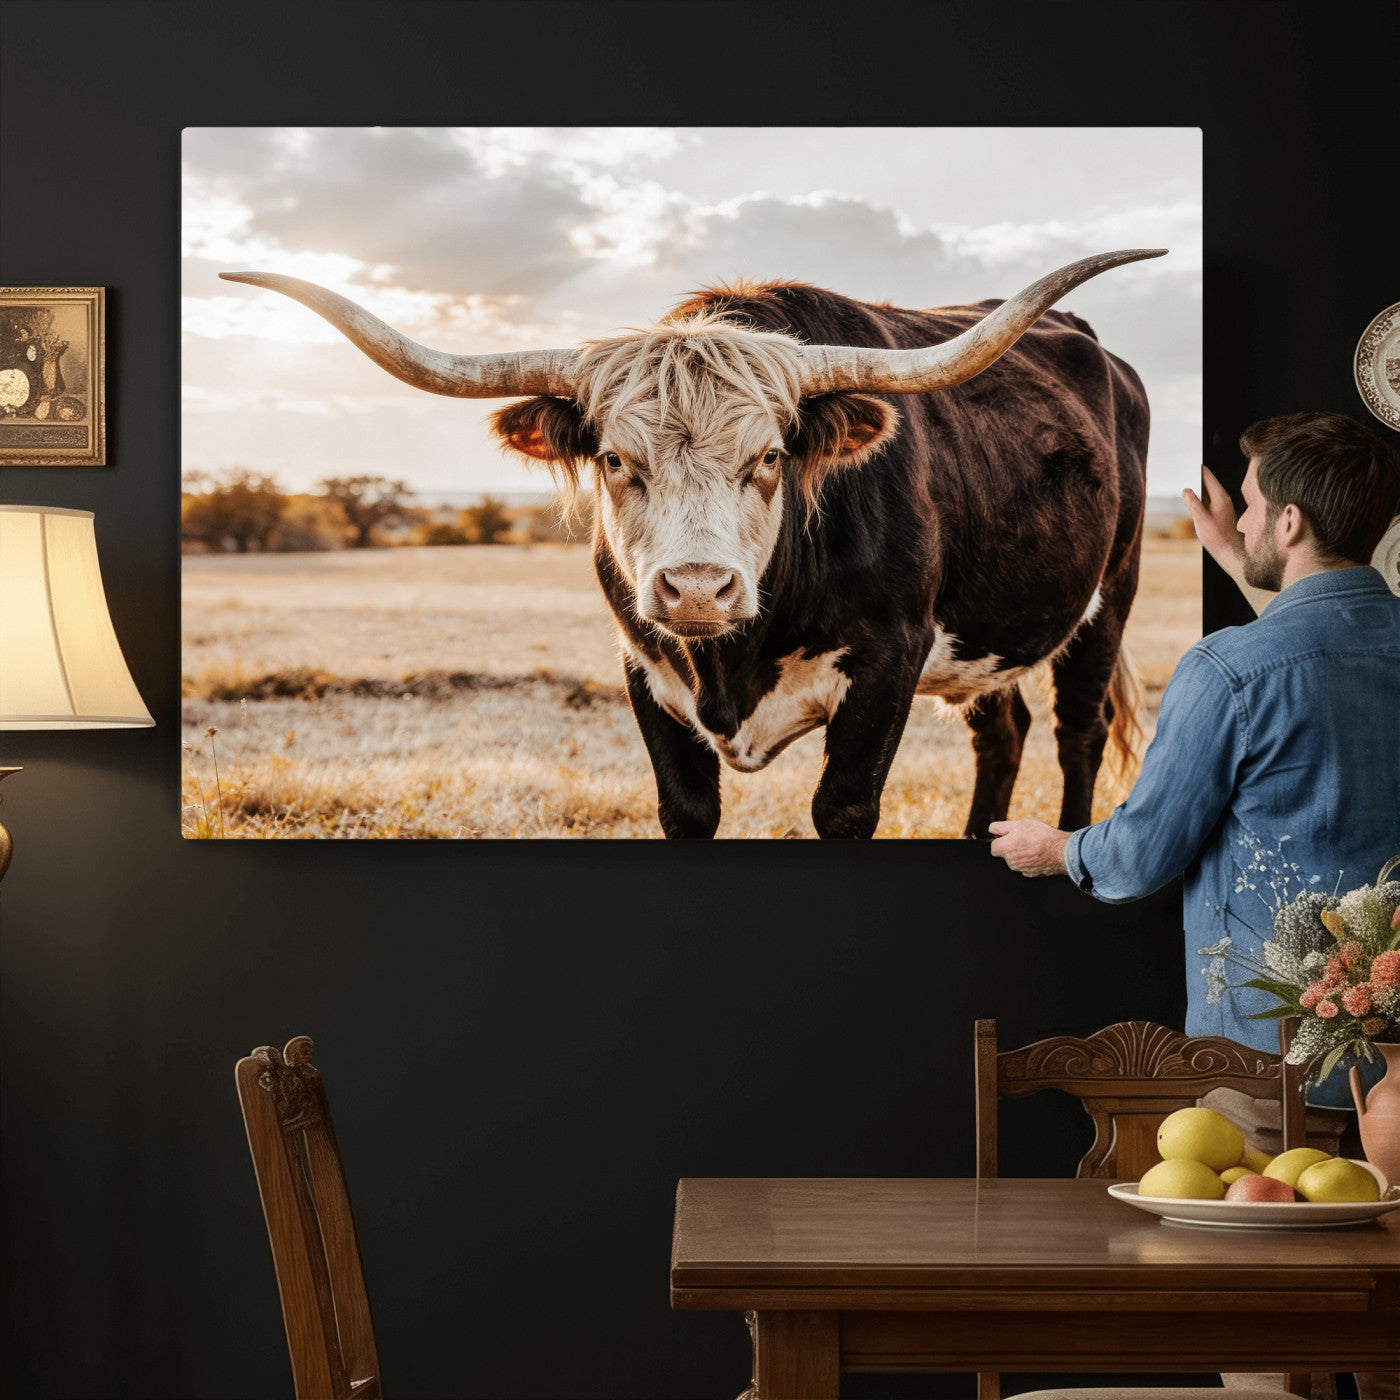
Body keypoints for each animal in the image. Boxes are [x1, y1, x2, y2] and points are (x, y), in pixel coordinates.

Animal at [221, 248, 1163, 838]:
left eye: (771, 457)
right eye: (613, 458)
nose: (700, 589)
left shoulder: (889, 662)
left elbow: (842, 807)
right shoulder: (645, 668)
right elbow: (687, 809)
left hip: (1109, 596)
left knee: (1077, 731)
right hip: (982, 637)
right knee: (999, 730)